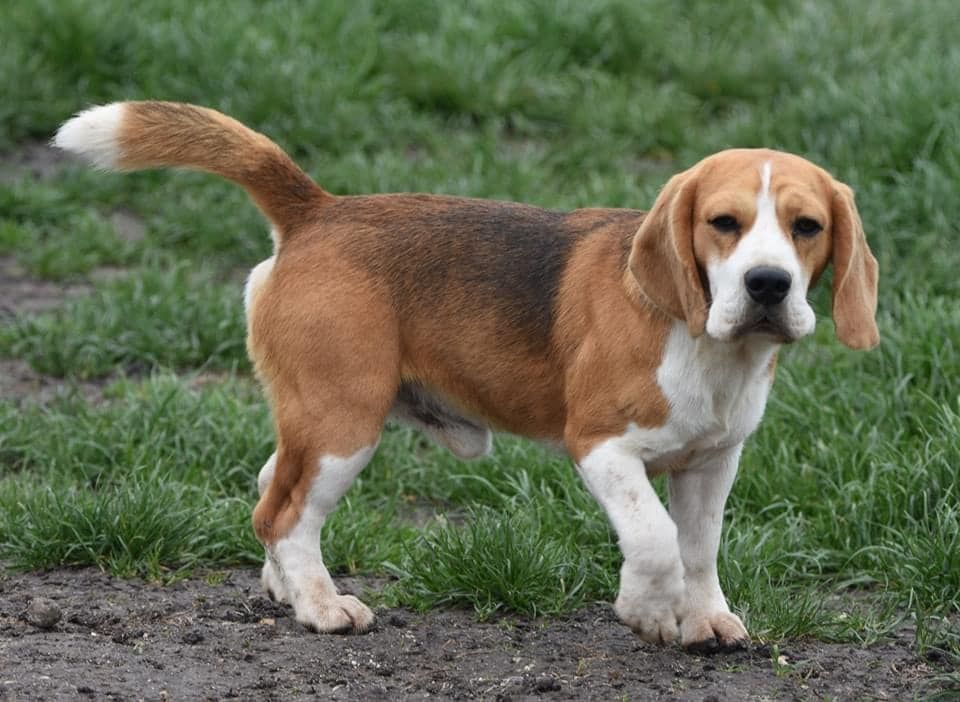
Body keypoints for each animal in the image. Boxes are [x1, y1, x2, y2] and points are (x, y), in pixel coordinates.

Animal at [54, 103, 876, 656]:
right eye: (723, 223)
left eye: (807, 227)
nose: (768, 285)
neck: (709, 345)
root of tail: (318, 211)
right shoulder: (601, 446)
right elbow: (654, 537)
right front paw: (647, 610)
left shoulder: (712, 461)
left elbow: (698, 545)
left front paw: (702, 617)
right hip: (343, 422)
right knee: (283, 514)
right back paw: (320, 606)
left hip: (319, 420)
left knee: (269, 485)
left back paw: (284, 588)